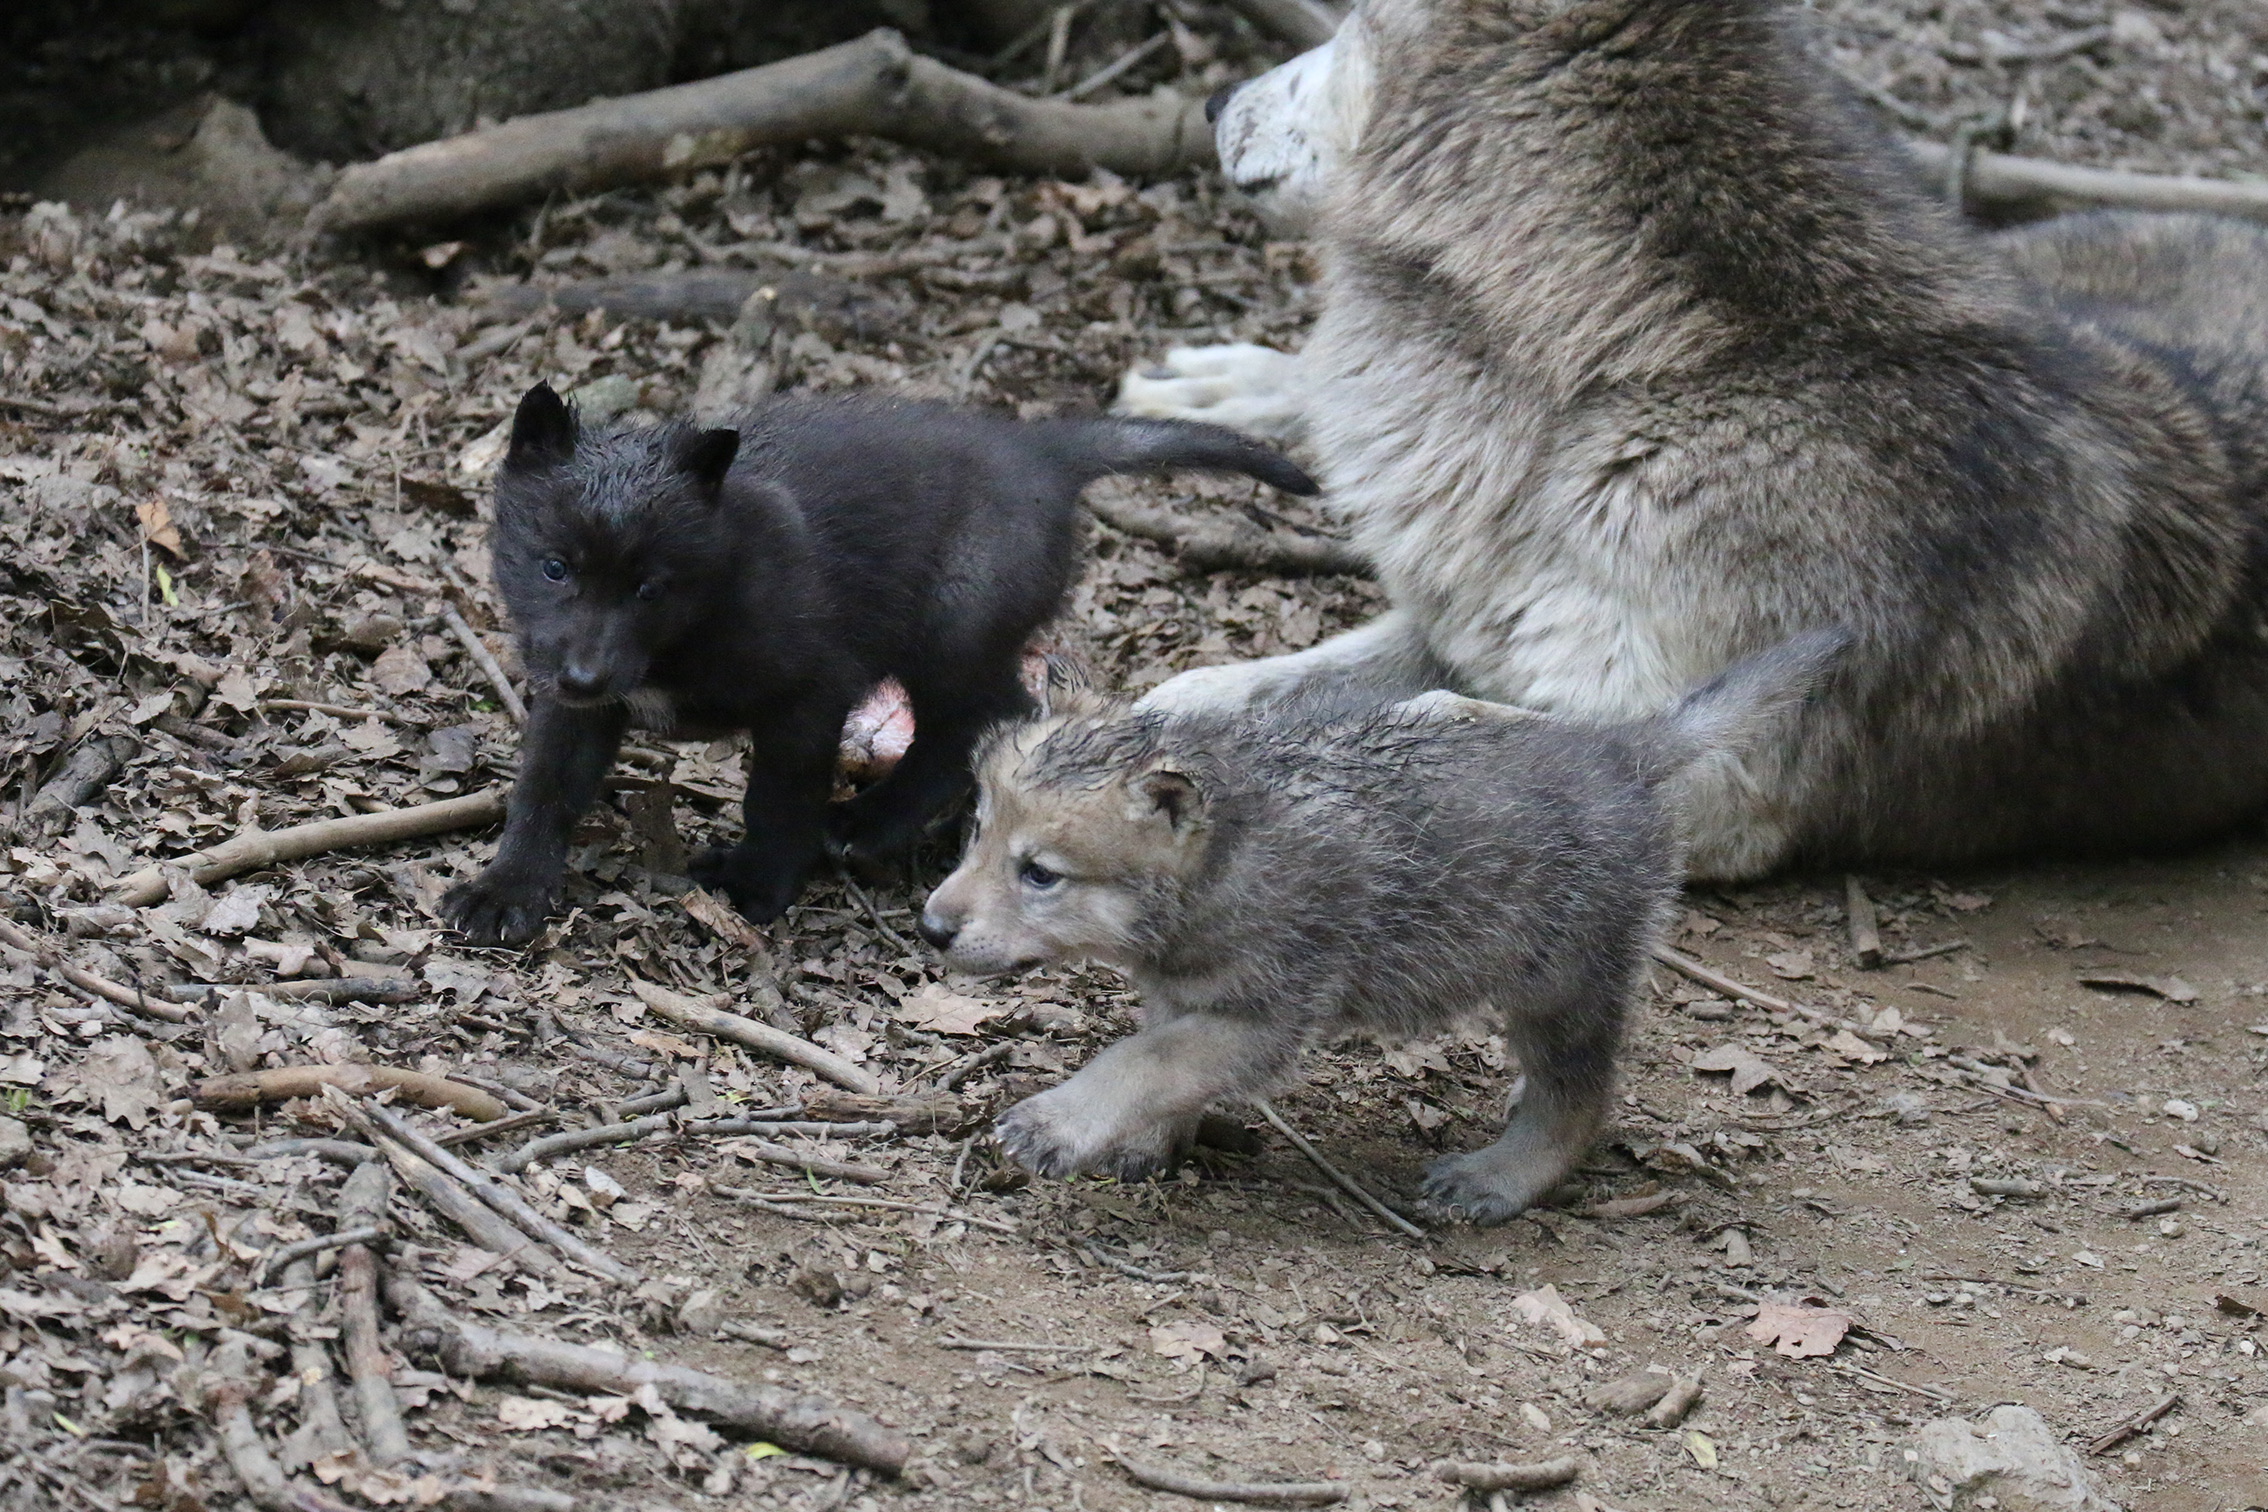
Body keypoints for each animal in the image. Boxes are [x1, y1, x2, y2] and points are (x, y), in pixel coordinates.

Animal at [442, 383, 1313, 945]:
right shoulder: (572, 705)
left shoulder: (809, 694)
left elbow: (778, 796)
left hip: (952, 630)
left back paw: (869, 823)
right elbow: (544, 790)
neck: (708, 601)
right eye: (554, 568)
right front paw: (506, 891)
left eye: (648, 587)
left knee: (981, 717)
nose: (585, 678)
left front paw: (758, 882)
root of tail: (1039, 450)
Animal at [918, 634, 1839, 1222]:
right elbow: (1157, 1060)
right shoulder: (1189, 993)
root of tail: (1619, 751)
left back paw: (1500, 1177)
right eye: (976, 833)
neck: (1226, 862)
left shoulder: (1263, 1017)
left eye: (1040, 874)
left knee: (1578, 1100)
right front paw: (1145, 1141)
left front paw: (1057, 1123)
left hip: (1560, 983)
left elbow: (1139, 1061)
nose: (930, 927)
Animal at [1120, 0, 2268, 879]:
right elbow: (1253, 680)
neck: (1643, 375)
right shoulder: (1476, 615)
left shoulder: (1725, 783)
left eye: (1355, 18)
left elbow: (1453, 727)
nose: (1211, 101)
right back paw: (1226, 387)